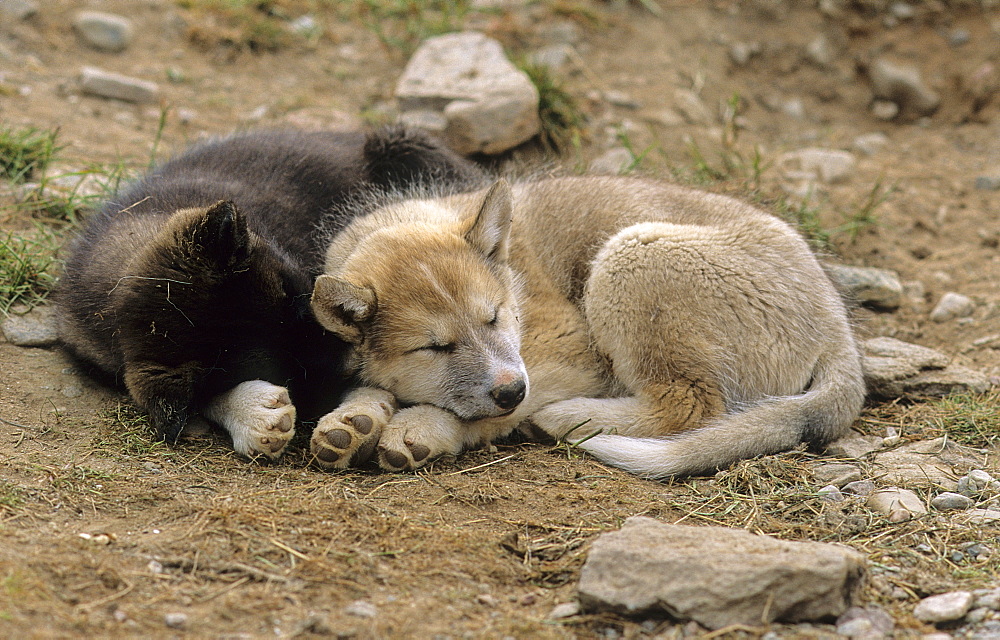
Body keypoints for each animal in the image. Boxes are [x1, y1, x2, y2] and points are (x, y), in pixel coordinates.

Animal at [308, 178, 864, 478]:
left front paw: (422, 426)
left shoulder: (570, 350)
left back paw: (565, 419)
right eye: (435, 347)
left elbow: (477, 414)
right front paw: (353, 422)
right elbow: (369, 387)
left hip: (633, 254)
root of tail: (837, 328)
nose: (510, 390)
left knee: (689, 406)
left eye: (494, 316)